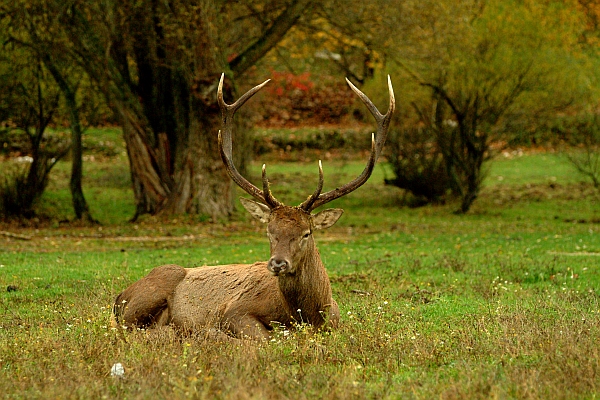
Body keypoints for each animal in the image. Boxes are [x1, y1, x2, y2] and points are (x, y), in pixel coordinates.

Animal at [110, 73, 396, 340]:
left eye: (306, 233)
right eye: (269, 230)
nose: (278, 263)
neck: (309, 314)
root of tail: (120, 294)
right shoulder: (235, 310)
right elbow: (265, 339)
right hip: (148, 294)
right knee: (131, 330)